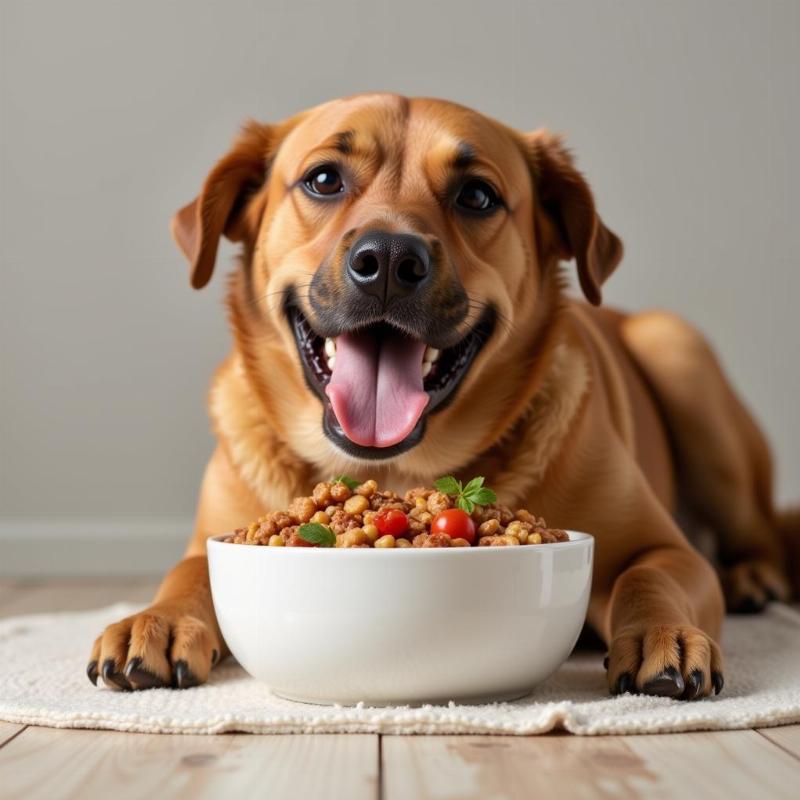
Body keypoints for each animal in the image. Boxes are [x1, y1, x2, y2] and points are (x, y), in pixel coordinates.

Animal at [84, 94, 796, 700]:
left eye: (477, 195)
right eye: (323, 180)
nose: (388, 261)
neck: (396, 467)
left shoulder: (666, 548)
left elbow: (648, 576)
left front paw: (661, 633)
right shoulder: (218, 536)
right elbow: (188, 573)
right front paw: (156, 618)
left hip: (678, 352)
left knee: (755, 531)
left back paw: (755, 578)